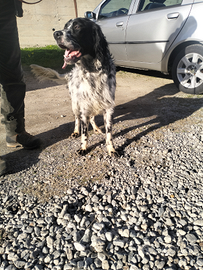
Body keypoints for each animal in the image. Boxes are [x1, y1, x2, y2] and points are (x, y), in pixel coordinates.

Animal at [30, 18, 116, 156]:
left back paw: (96, 129)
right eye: (65, 26)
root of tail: (70, 74)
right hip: (75, 104)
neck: (92, 71)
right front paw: (83, 148)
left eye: (77, 27)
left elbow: (109, 134)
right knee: (77, 119)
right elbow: (84, 133)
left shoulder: (108, 107)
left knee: (92, 118)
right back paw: (76, 131)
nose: (56, 34)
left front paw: (111, 149)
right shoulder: (84, 107)